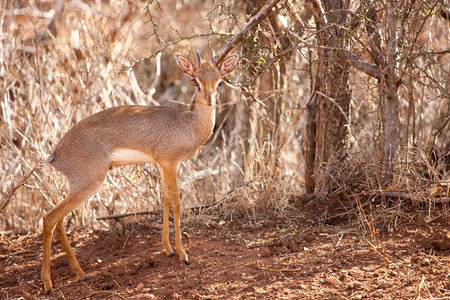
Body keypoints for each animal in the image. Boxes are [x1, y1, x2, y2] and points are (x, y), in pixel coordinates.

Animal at [40, 52, 241, 292]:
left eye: (220, 82)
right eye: (195, 81)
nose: (209, 101)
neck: (190, 127)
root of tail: (55, 154)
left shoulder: (165, 165)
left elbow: (165, 200)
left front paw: (168, 249)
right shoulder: (169, 163)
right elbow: (176, 203)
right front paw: (183, 254)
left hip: (80, 187)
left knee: (59, 220)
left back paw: (81, 274)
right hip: (90, 184)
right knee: (49, 218)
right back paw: (48, 284)